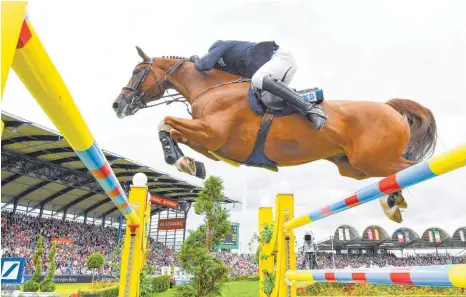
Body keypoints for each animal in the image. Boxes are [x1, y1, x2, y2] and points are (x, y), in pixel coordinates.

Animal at [113, 46, 436, 222]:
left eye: (136, 72)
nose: (118, 105)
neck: (211, 88)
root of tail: (389, 108)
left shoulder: (212, 134)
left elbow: (165, 121)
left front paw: (180, 161)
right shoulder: (209, 142)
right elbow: (171, 129)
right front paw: (188, 163)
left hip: (374, 159)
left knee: (412, 168)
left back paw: (396, 201)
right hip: (354, 167)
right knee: (394, 175)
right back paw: (392, 202)